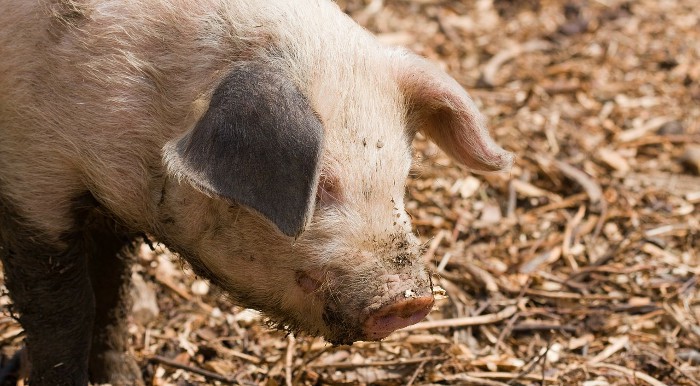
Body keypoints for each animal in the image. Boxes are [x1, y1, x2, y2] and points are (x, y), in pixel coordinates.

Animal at [0, 0, 516, 386]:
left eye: (401, 179)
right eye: (321, 185)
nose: (410, 301)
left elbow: (112, 299)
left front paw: (123, 378)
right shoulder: (32, 185)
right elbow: (67, 314)